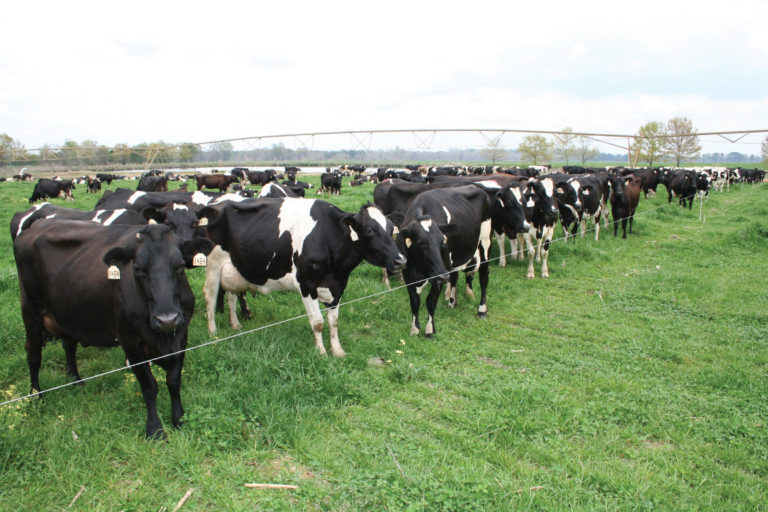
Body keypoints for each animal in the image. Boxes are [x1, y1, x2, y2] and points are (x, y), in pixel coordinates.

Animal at [13, 220, 214, 438]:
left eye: (179, 267)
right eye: (138, 269)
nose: (167, 319)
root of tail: (38, 224)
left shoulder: (181, 333)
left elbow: (174, 381)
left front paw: (179, 419)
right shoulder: (130, 341)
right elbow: (149, 386)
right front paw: (155, 429)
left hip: (67, 312)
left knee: (69, 345)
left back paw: (75, 379)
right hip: (31, 311)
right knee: (33, 355)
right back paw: (35, 396)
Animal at [202, 199, 406, 355]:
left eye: (390, 229)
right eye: (370, 230)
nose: (401, 261)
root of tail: (217, 205)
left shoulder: (338, 285)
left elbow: (334, 322)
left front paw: (337, 351)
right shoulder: (306, 284)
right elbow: (318, 323)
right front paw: (321, 352)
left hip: (233, 270)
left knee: (231, 296)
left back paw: (235, 325)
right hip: (213, 265)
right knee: (210, 296)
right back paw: (213, 333)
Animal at [397, 186, 492, 338]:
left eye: (443, 242)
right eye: (421, 243)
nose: (442, 276)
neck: (420, 270)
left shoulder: (440, 274)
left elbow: (430, 301)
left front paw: (430, 330)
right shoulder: (408, 273)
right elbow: (415, 302)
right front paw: (415, 329)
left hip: (485, 241)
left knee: (483, 277)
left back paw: (482, 310)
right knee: (455, 276)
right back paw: (452, 302)